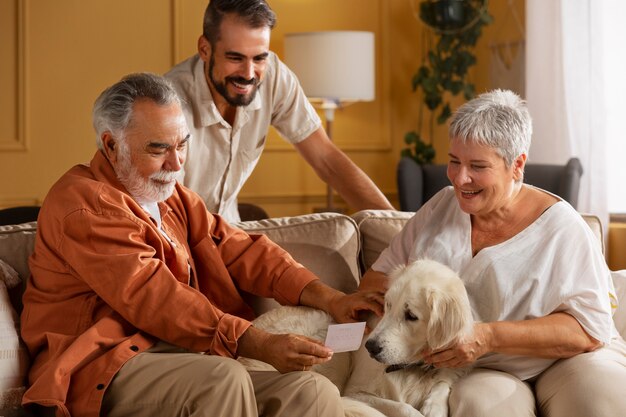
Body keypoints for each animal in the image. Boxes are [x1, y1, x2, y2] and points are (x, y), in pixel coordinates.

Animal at [239, 258, 472, 414]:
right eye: (387, 306)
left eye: (411, 316)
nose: (370, 347)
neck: (411, 366)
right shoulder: (355, 392)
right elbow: (404, 408)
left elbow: (443, 382)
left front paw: (434, 407)